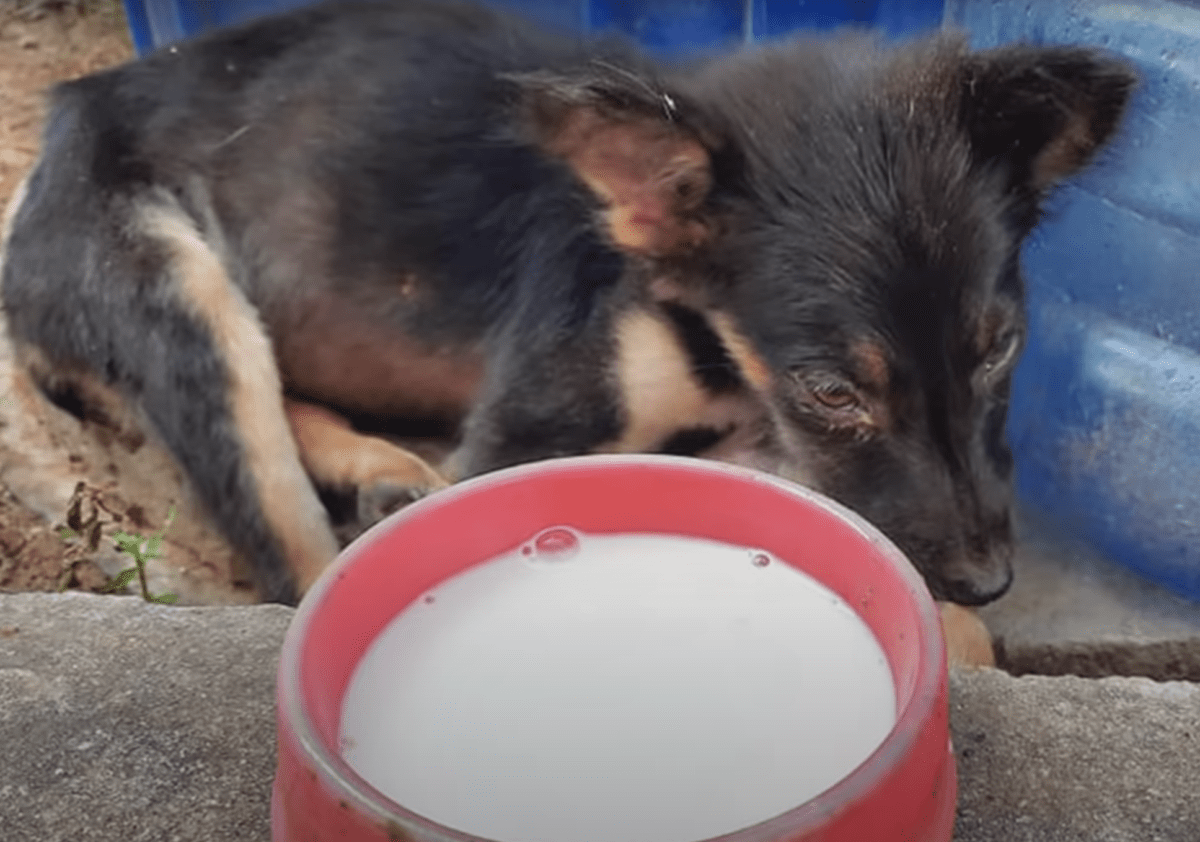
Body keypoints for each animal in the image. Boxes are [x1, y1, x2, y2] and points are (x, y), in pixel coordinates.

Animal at [0, 0, 1128, 606]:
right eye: (832, 390)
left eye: (1001, 349)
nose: (988, 583)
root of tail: (75, 103)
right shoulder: (528, 435)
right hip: (177, 292)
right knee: (286, 534)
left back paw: (381, 471)